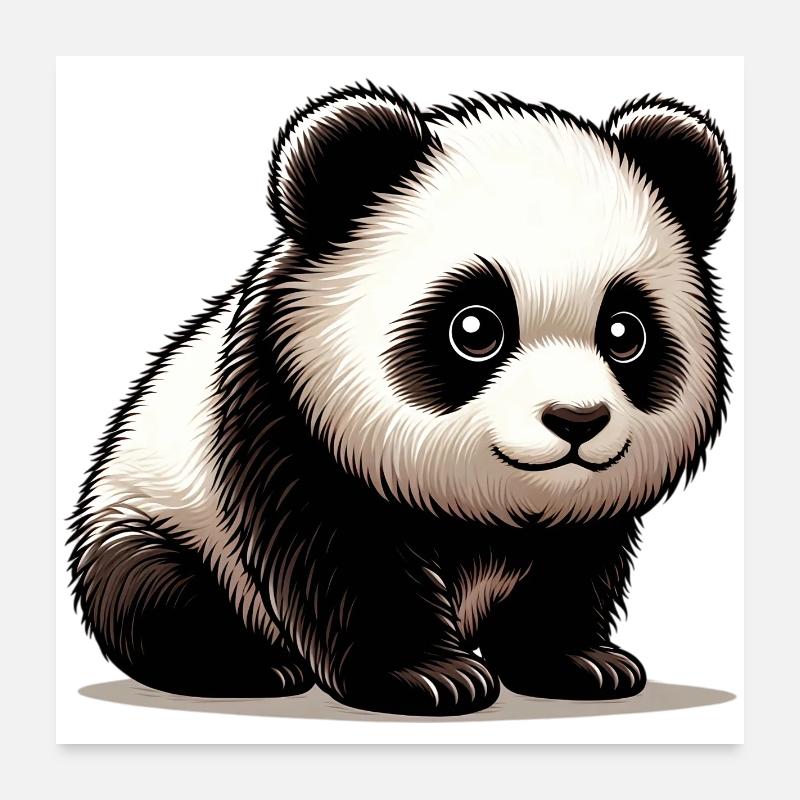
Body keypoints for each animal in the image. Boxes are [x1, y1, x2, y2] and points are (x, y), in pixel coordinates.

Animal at [68, 83, 735, 716]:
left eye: (624, 332)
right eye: (475, 328)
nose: (577, 420)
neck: (490, 507)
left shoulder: (582, 517)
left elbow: (571, 568)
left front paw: (581, 662)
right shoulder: (289, 421)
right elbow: (343, 560)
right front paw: (429, 675)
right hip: (157, 516)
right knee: (154, 592)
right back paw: (248, 666)